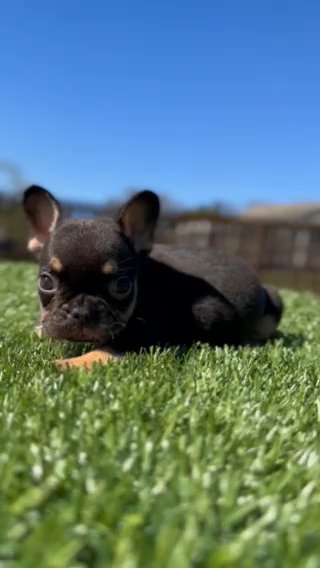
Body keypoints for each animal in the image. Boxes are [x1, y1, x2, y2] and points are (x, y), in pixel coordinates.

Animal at [23, 186, 282, 370]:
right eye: (46, 282)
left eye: (122, 285)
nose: (81, 312)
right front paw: (41, 330)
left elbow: (110, 349)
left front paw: (63, 365)